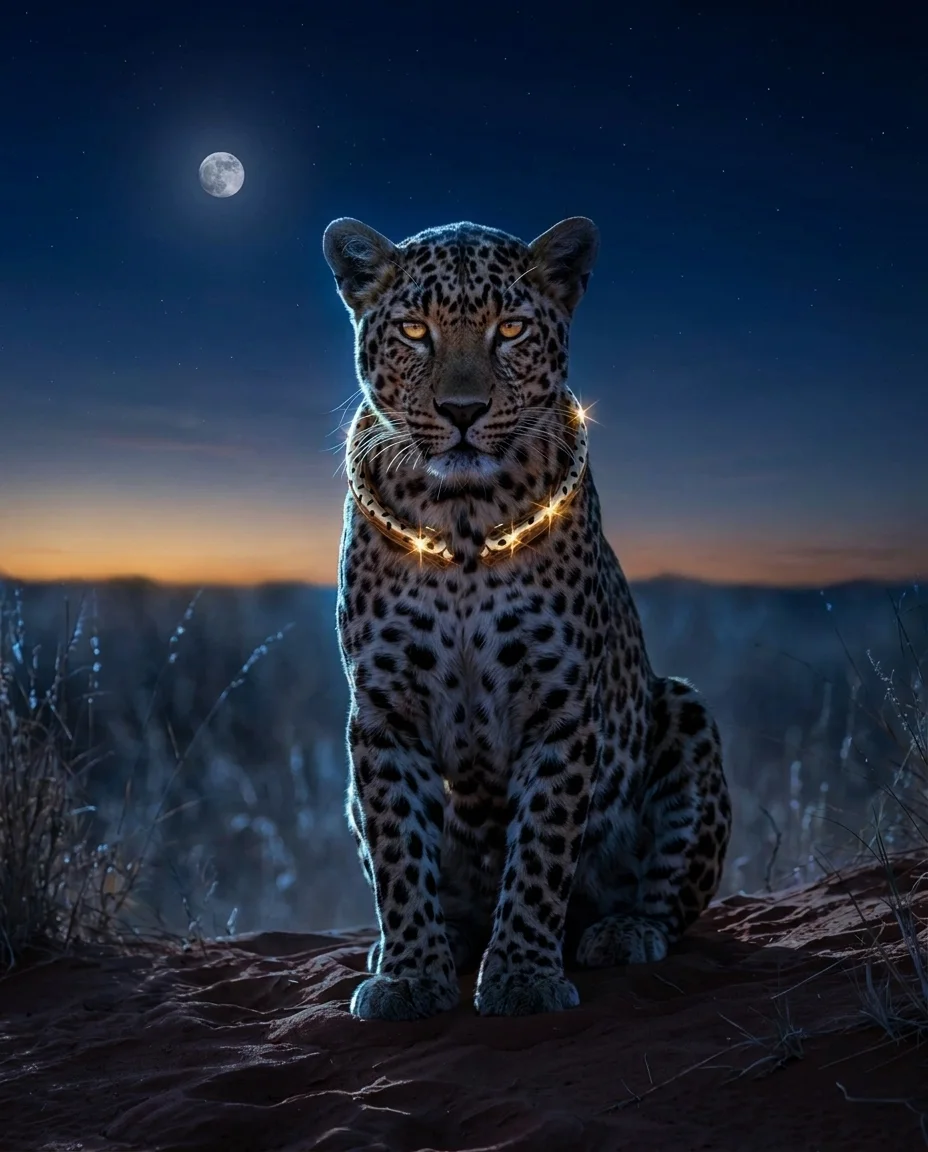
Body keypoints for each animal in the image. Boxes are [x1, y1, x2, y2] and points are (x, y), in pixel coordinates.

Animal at [322, 213, 732, 1020]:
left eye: (510, 329)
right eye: (414, 330)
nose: (462, 413)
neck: (462, 523)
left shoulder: (559, 703)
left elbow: (541, 848)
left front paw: (521, 976)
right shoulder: (383, 710)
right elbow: (398, 851)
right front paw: (410, 974)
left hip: (683, 710)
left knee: (669, 899)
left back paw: (622, 930)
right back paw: (425, 942)